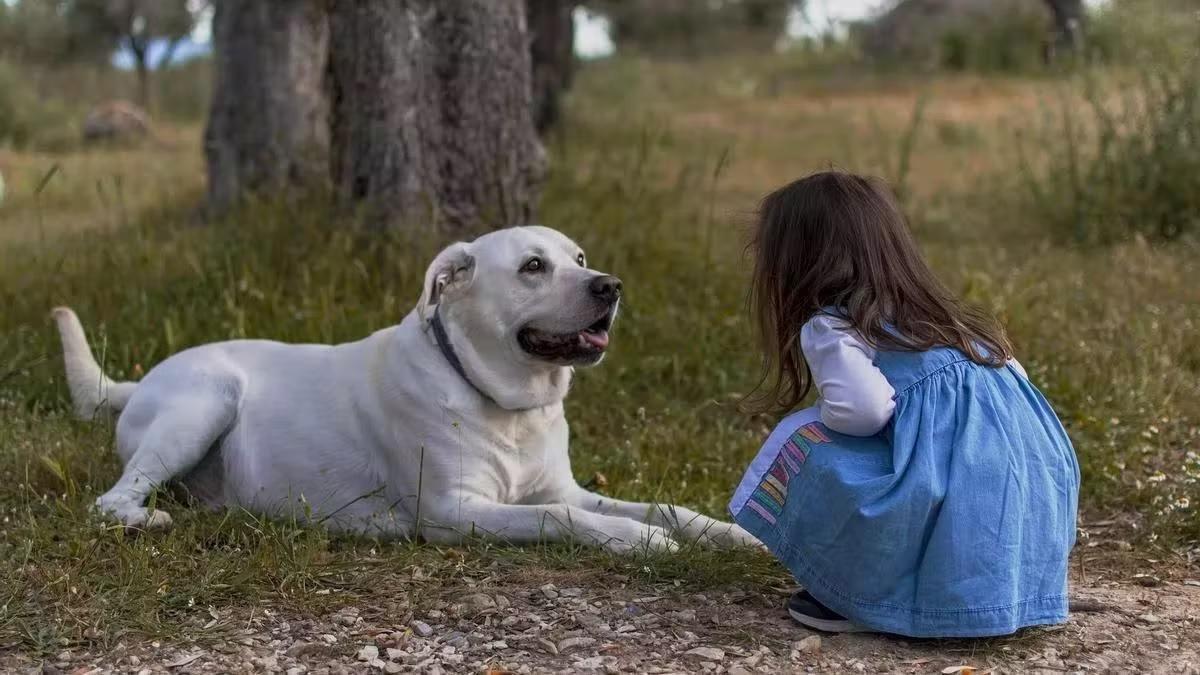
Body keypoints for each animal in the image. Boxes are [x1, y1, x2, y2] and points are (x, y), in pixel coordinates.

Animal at [54, 225, 758, 552]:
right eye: (533, 267)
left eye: (579, 259)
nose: (609, 286)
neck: (507, 405)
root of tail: (138, 381)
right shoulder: (455, 511)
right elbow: (559, 518)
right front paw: (637, 541)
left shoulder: (564, 487)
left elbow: (662, 506)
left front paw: (728, 534)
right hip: (205, 401)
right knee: (110, 501)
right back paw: (146, 519)